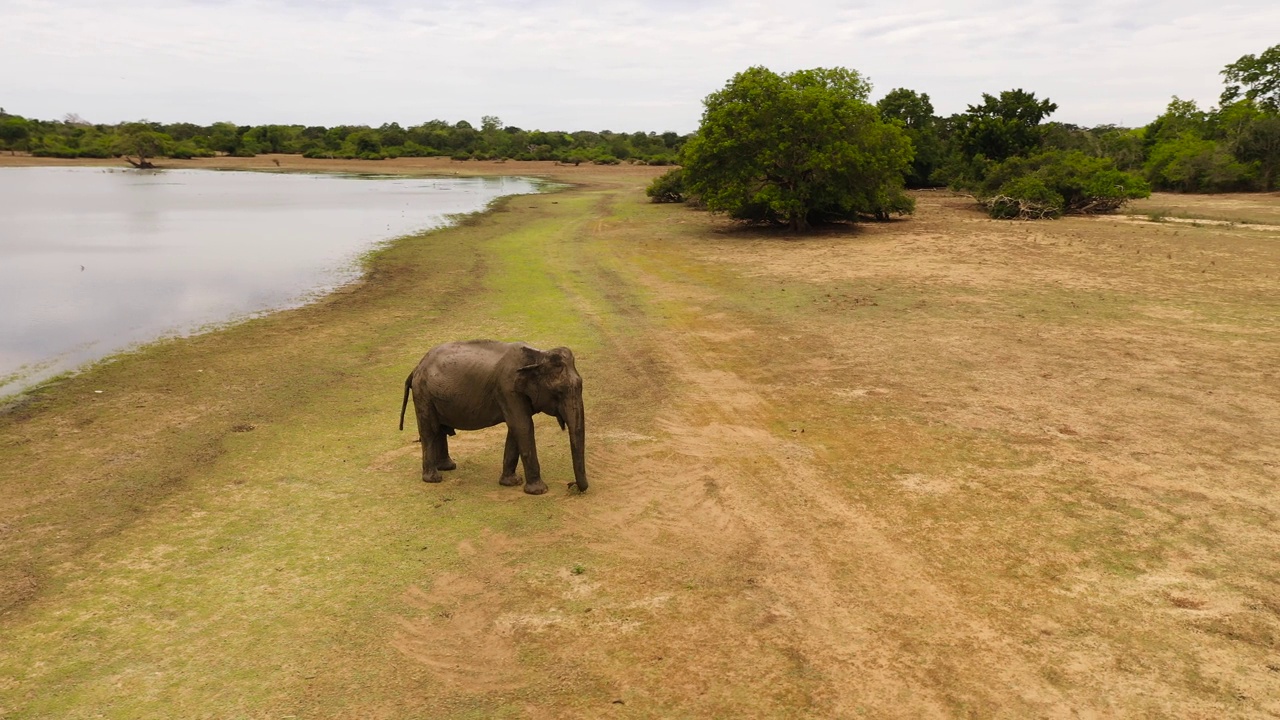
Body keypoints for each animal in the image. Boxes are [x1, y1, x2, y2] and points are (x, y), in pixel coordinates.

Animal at [396, 338, 586, 489]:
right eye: (559, 392)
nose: (571, 485)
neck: (538, 356)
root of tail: (416, 367)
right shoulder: (507, 389)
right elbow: (523, 426)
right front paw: (539, 490)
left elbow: (515, 428)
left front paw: (511, 482)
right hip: (423, 394)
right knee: (430, 431)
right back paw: (434, 478)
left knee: (440, 429)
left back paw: (447, 467)